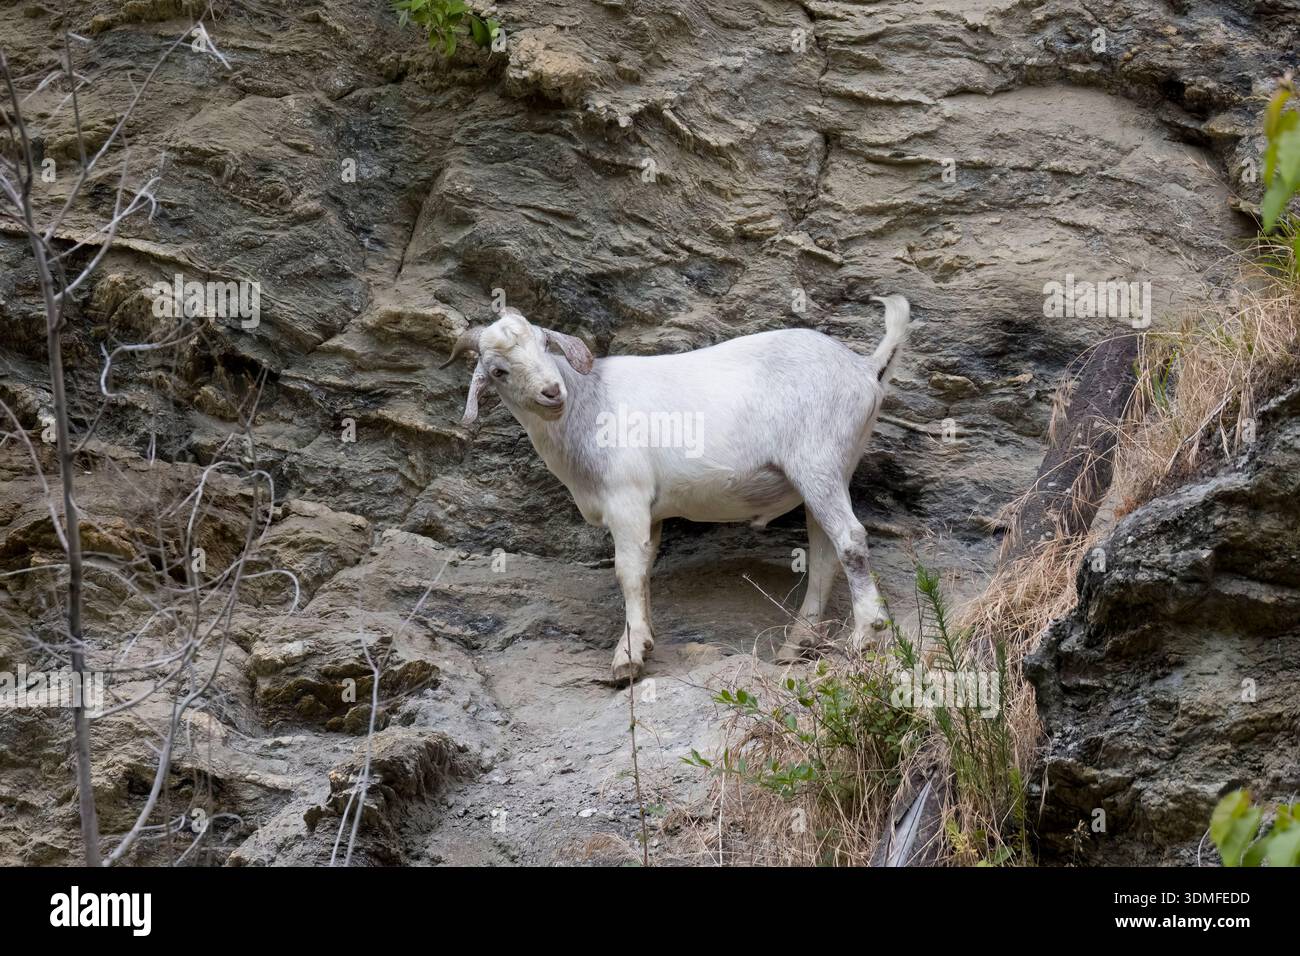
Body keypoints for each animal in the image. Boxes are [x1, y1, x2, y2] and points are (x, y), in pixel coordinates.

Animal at [441, 296, 911, 682]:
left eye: (544, 345)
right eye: (499, 370)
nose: (551, 392)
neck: (588, 408)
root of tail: (865, 367)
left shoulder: (625, 499)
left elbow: (627, 570)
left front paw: (627, 658)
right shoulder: (647, 512)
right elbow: (645, 568)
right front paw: (642, 640)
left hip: (817, 462)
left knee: (850, 539)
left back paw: (866, 636)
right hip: (829, 472)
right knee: (825, 553)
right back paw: (797, 643)